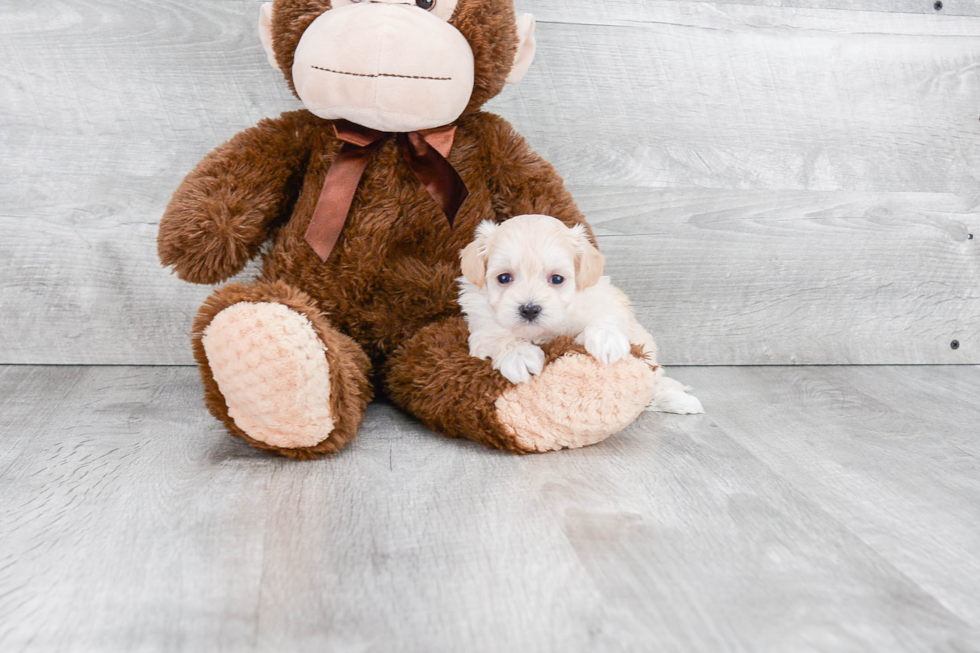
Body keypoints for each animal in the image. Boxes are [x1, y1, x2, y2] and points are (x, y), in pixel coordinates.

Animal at [460, 216, 704, 416]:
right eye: (504, 278)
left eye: (557, 279)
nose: (529, 309)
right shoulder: (481, 324)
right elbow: (498, 336)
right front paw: (518, 354)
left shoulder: (602, 297)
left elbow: (607, 316)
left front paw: (606, 340)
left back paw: (680, 401)